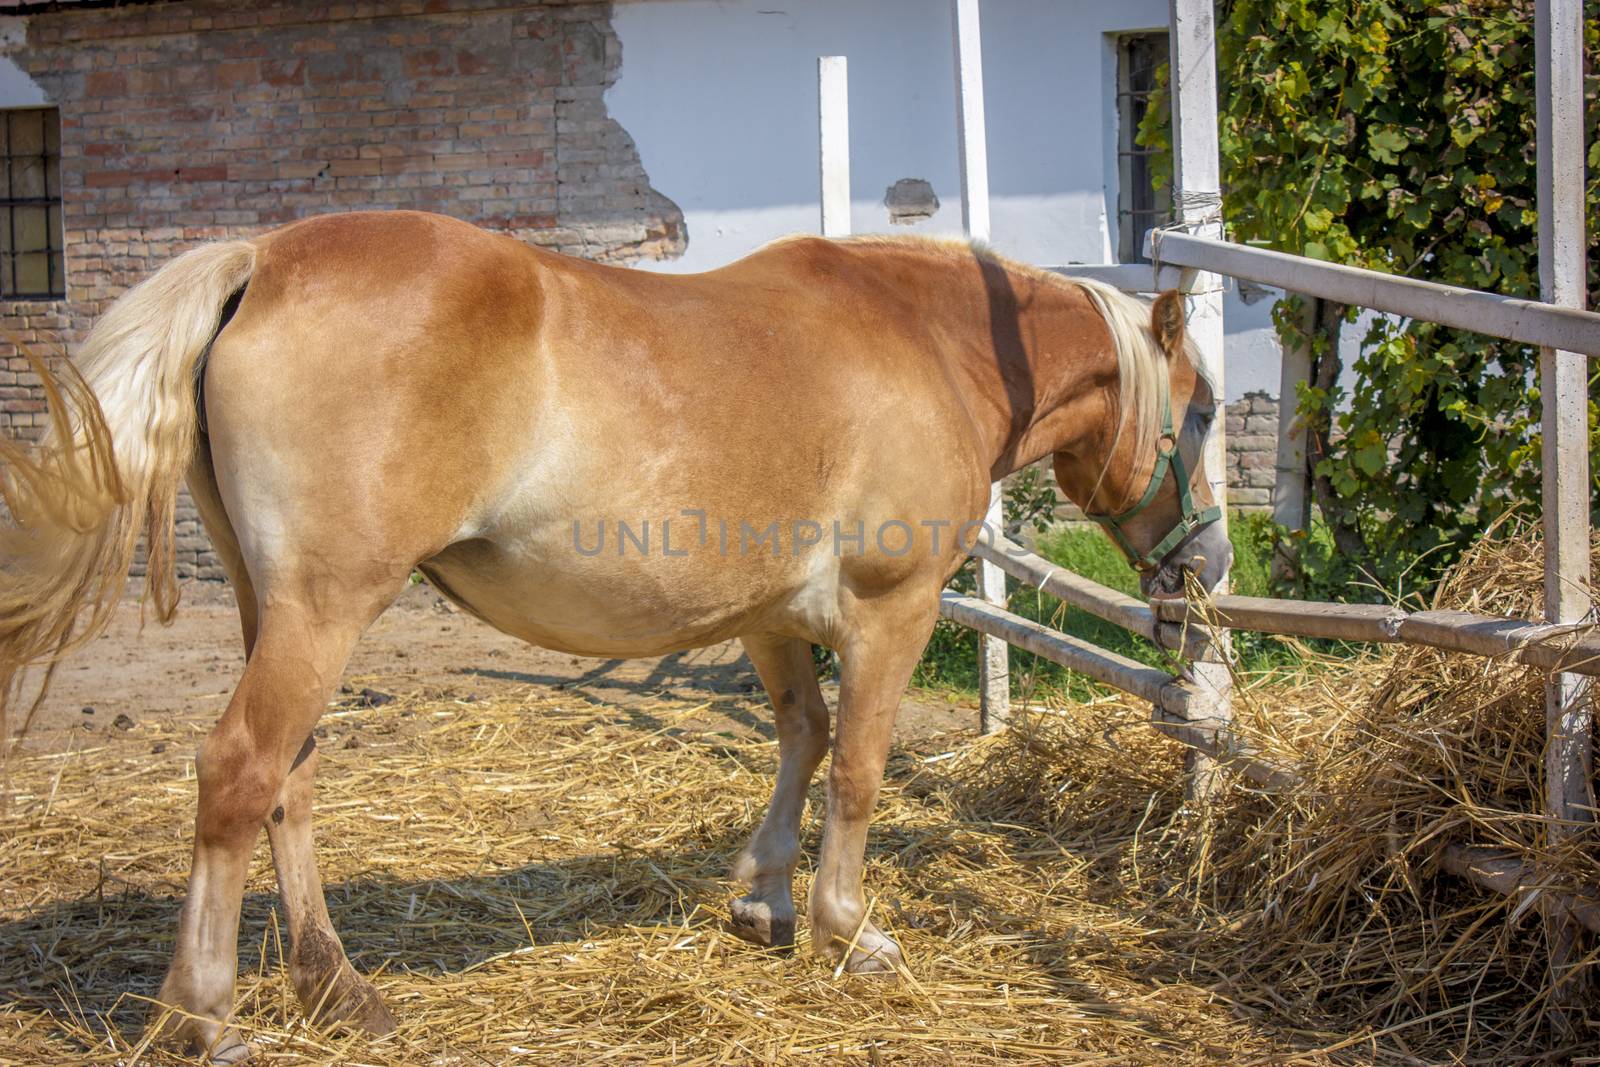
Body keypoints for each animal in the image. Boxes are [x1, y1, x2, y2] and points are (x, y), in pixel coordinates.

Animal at [3, 211, 1222, 1062]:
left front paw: (764, 896)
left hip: (282, 613)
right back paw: (205, 1016)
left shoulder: (767, 618)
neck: (926, 340)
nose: (1206, 565)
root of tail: (260, 260)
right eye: (1202, 410)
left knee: (287, 784)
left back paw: (338, 989)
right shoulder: (893, 607)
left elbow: (805, 738)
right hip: (323, 611)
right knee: (239, 773)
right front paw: (846, 928)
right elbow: (861, 768)